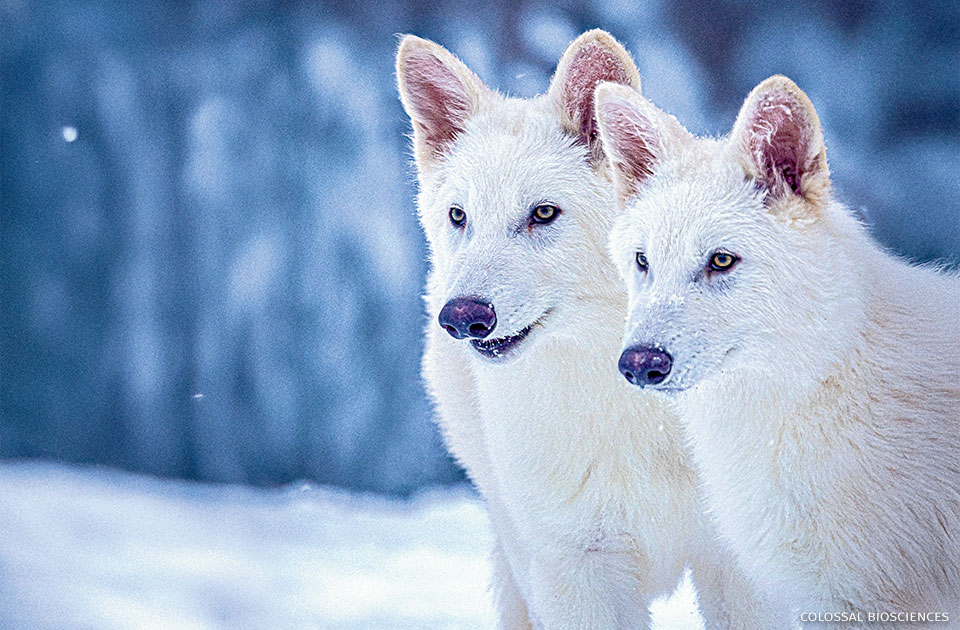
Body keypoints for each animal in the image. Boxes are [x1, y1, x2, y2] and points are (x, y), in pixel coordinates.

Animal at [396, 30, 784, 629]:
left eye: (543, 213)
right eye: (460, 217)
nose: (461, 316)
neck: (636, 412)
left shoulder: (738, 566)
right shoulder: (576, 568)